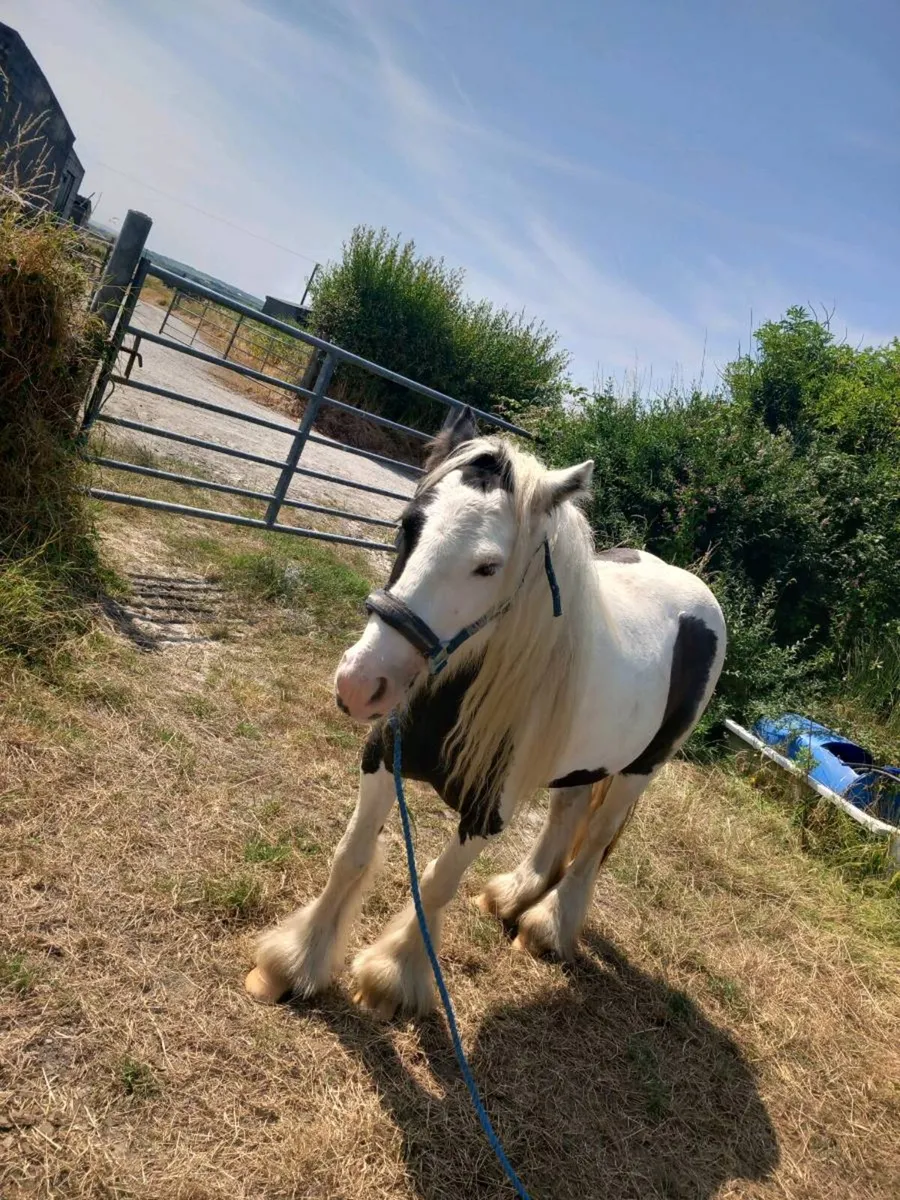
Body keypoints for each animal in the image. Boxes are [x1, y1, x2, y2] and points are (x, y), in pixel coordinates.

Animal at [245, 407, 726, 1018]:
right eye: (409, 525)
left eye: (489, 567)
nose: (361, 683)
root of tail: (694, 592)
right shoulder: (381, 762)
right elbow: (351, 856)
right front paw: (294, 963)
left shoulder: (484, 814)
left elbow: (435, 884)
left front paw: (390, 979)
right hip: (580, 766)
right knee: (566, 815)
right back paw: (515, 895)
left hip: (640, 770)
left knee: (594, 841)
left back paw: (546, 926)